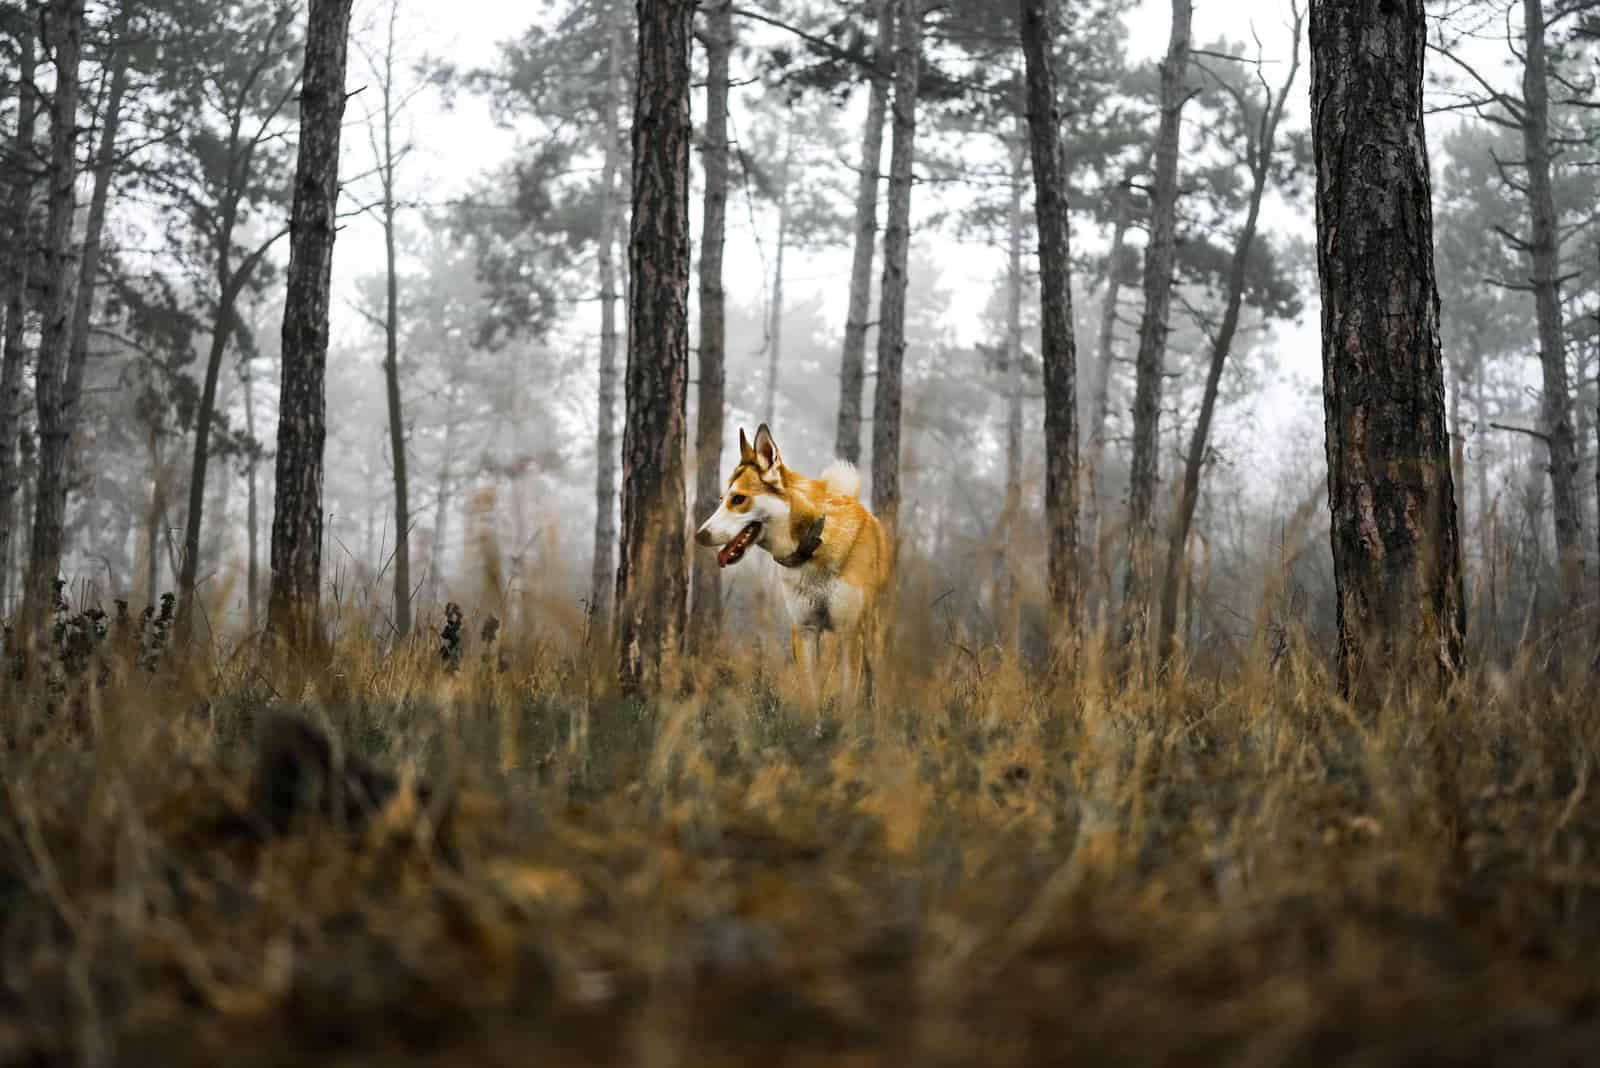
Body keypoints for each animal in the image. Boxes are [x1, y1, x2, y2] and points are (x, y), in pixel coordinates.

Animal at [691, 422, 889, 709]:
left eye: (738, 499)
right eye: (721, 499)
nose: (699, 535)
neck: (814, 547)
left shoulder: (850, 632)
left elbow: (848, 704)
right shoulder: (804, 631)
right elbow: (810, 699)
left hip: (869, 636)